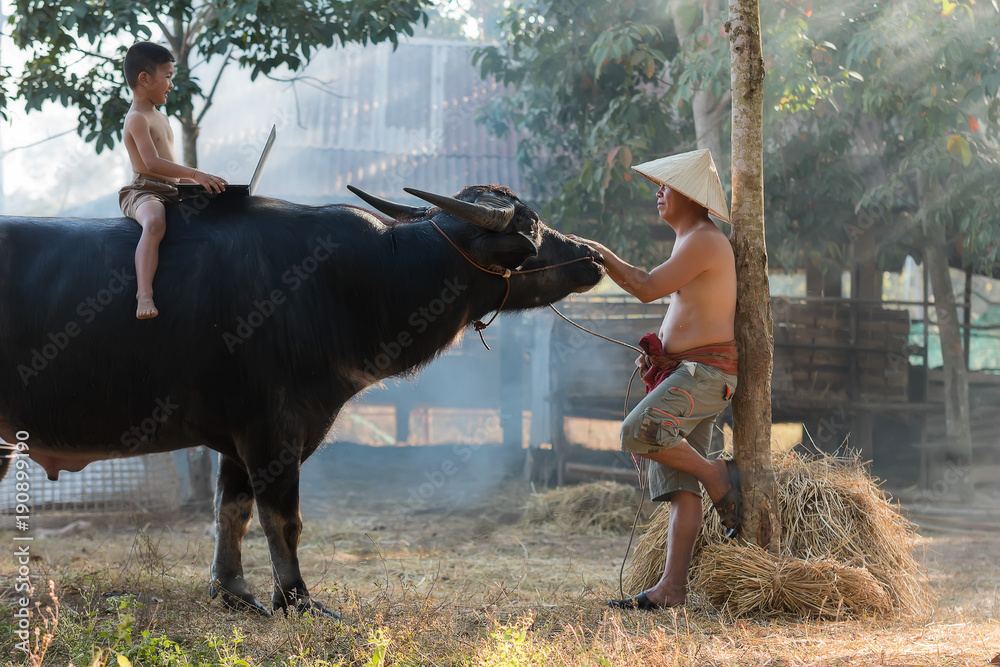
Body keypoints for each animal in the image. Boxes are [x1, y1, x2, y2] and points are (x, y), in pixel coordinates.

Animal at [0, 184, 600, 616]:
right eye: (531, 226)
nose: (591, 255)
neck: (349, 282)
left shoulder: (237, 440)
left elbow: (232, 511)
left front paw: (235, 593)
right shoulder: (273, 428)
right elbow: (282, 519)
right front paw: (296, 599)